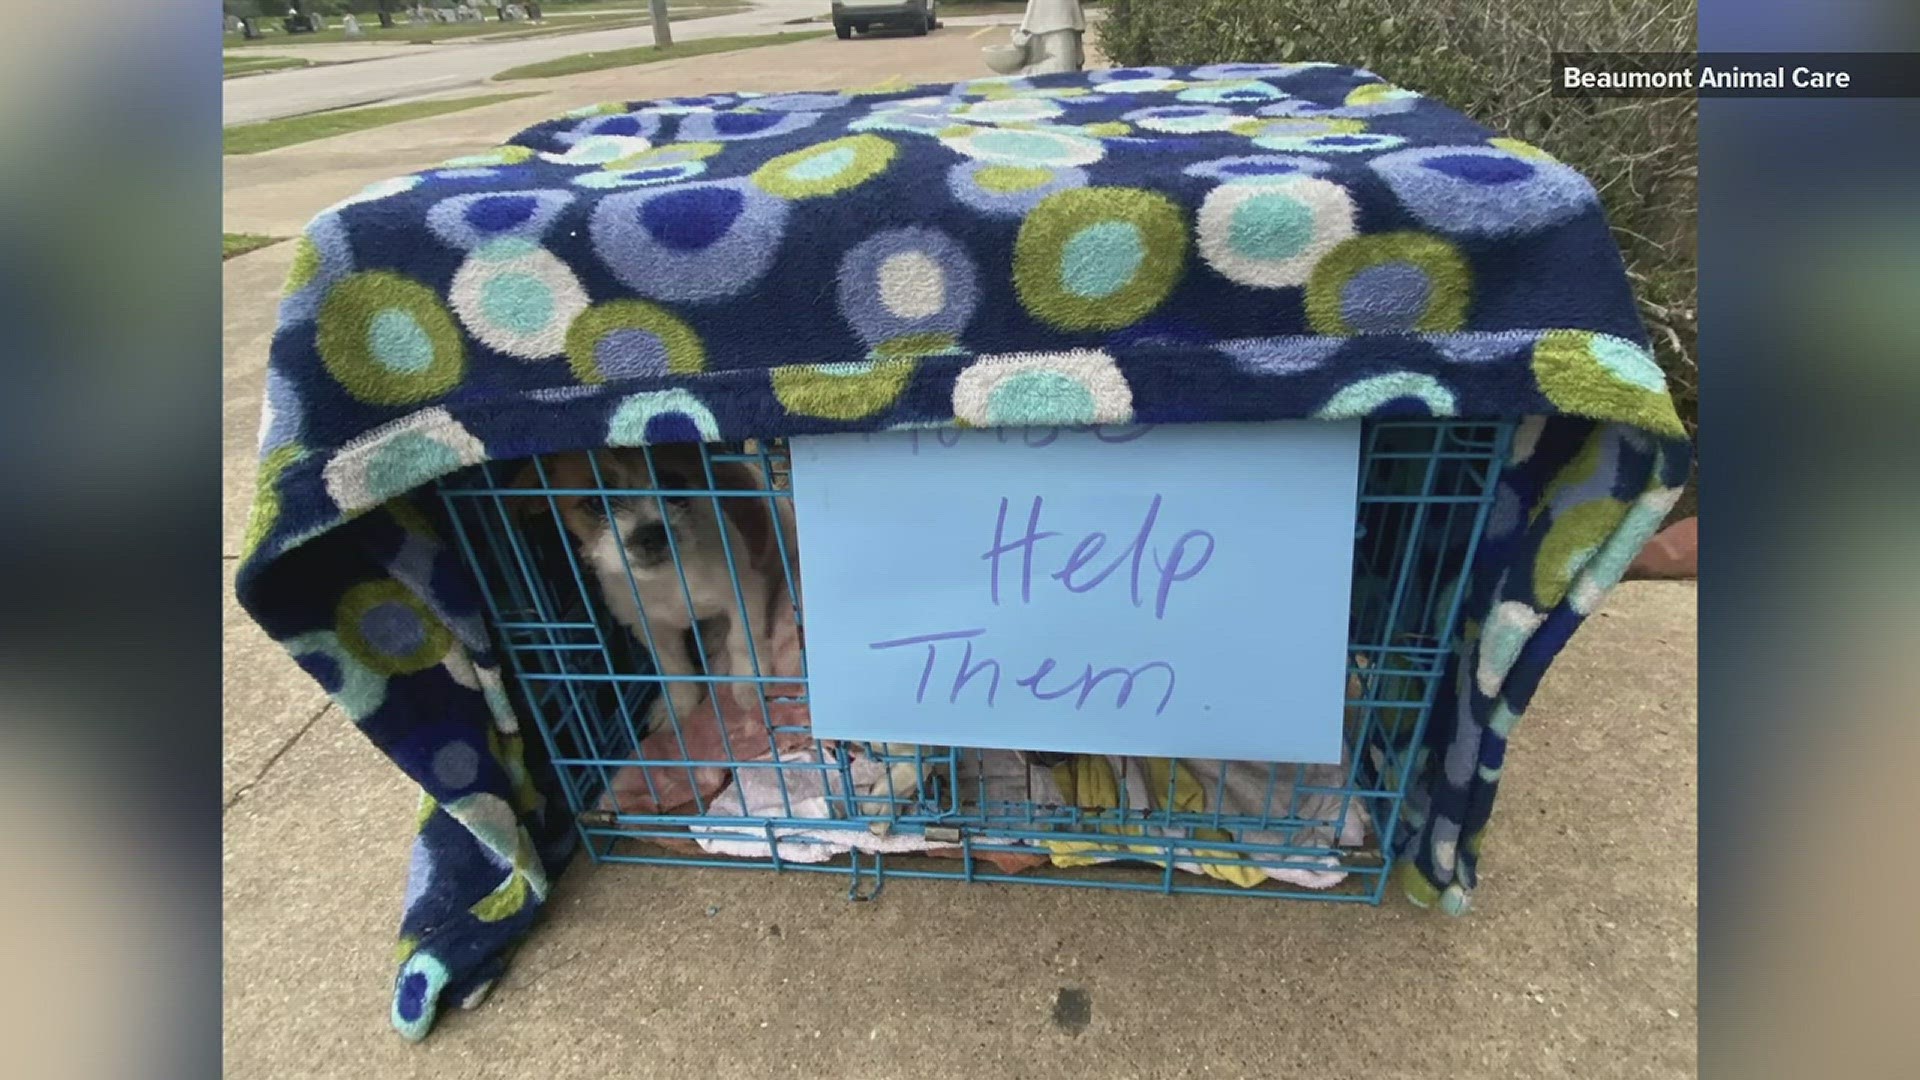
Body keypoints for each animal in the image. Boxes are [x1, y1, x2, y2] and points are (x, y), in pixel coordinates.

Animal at [439, 420, 1512, 899]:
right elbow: (670, 670)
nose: (650, 534)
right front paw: (681, 714)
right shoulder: (649, 624)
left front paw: (740, 712)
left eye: (671, 477)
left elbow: (738, 660)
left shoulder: (738, 600)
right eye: (587, 503)